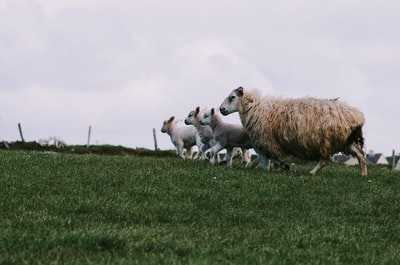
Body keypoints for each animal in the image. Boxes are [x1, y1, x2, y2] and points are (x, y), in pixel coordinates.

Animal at [220, 86, 368, 175]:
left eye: (232, 97)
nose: (221, 109)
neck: (256, 109)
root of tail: (356, 115)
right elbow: (270, 157)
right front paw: (275, 168)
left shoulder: (269, 140)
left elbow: (271, 157)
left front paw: (281, 166)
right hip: (346, 140)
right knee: (360, 154)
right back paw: (363, 174)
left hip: (328, 140)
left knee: (325, 160)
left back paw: (312, 172)